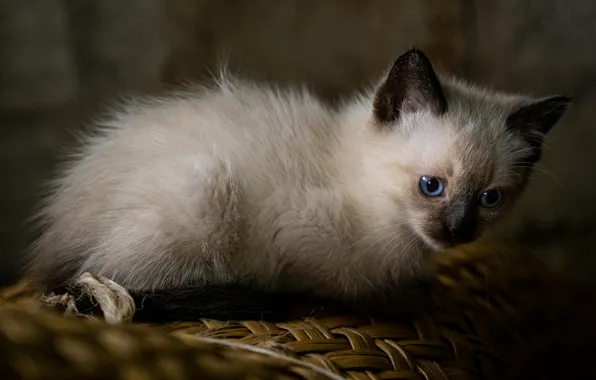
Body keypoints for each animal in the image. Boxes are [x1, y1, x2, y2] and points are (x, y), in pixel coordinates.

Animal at [25, 46, 572, 320]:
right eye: (431, 186)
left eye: (490, 198)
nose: (457, 232)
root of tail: (50, 244)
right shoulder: (289, 237)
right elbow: (332, 287)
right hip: (201, 188)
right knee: (117, 284)